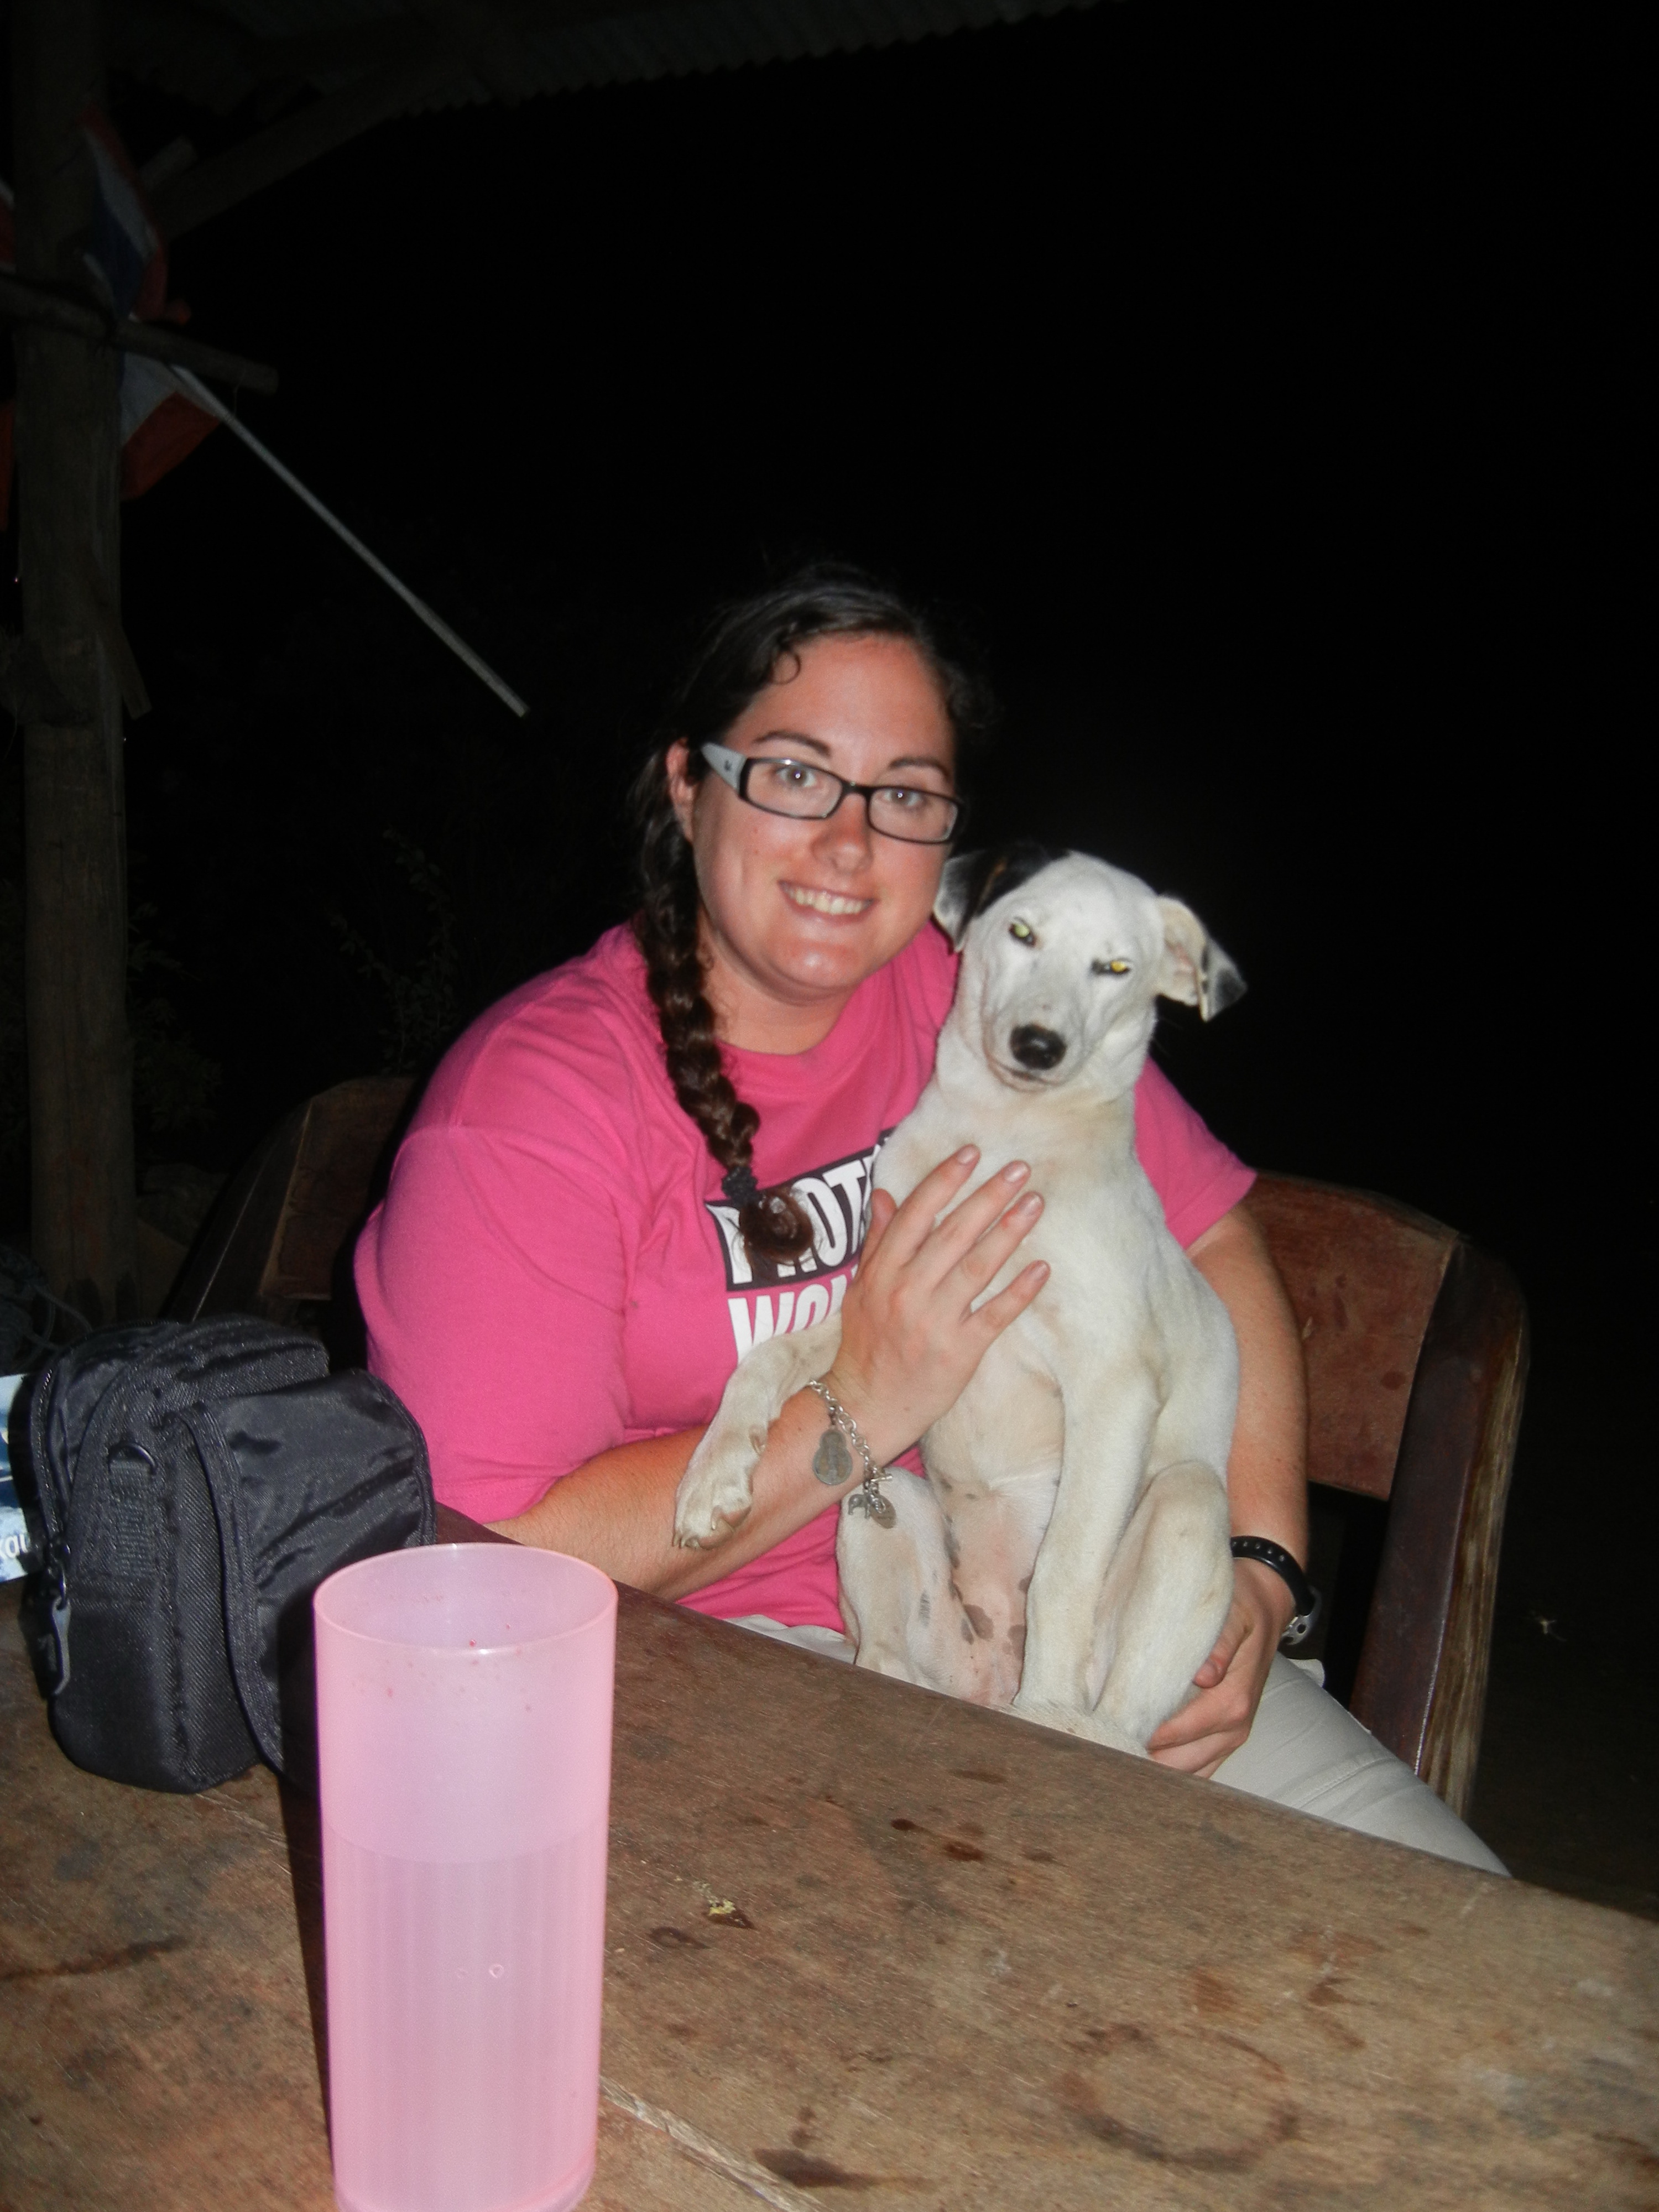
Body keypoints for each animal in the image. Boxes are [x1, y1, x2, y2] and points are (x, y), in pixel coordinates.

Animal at [677, 841, 1248, 1743]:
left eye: (1116, 967)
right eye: (1022, 932)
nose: (1039, 1044)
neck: (1005, 1133)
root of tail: (985, 1683)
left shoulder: (1113, 1382)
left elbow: (1066, 1566)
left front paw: (1047, 1704)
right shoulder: (881, 1298)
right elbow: (767, 1358)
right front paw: (713, 1476)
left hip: (1186, 1507)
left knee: (1122, 1721)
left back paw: (1058, 1713)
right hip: (880, 1498)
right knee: (884, 1655)